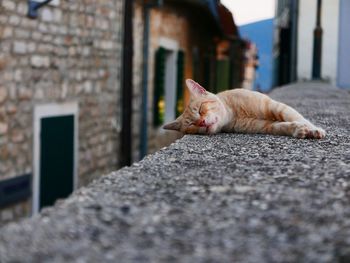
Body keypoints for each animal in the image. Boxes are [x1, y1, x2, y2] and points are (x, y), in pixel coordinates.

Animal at [163, 79, 326, 139]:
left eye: (200, 109)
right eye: (192, 124)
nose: (202, 122)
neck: (235, 113)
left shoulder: (275, 106)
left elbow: (297, 117)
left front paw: (313, 129)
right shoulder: (264, 126)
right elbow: (282, 126)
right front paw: (298, 130)